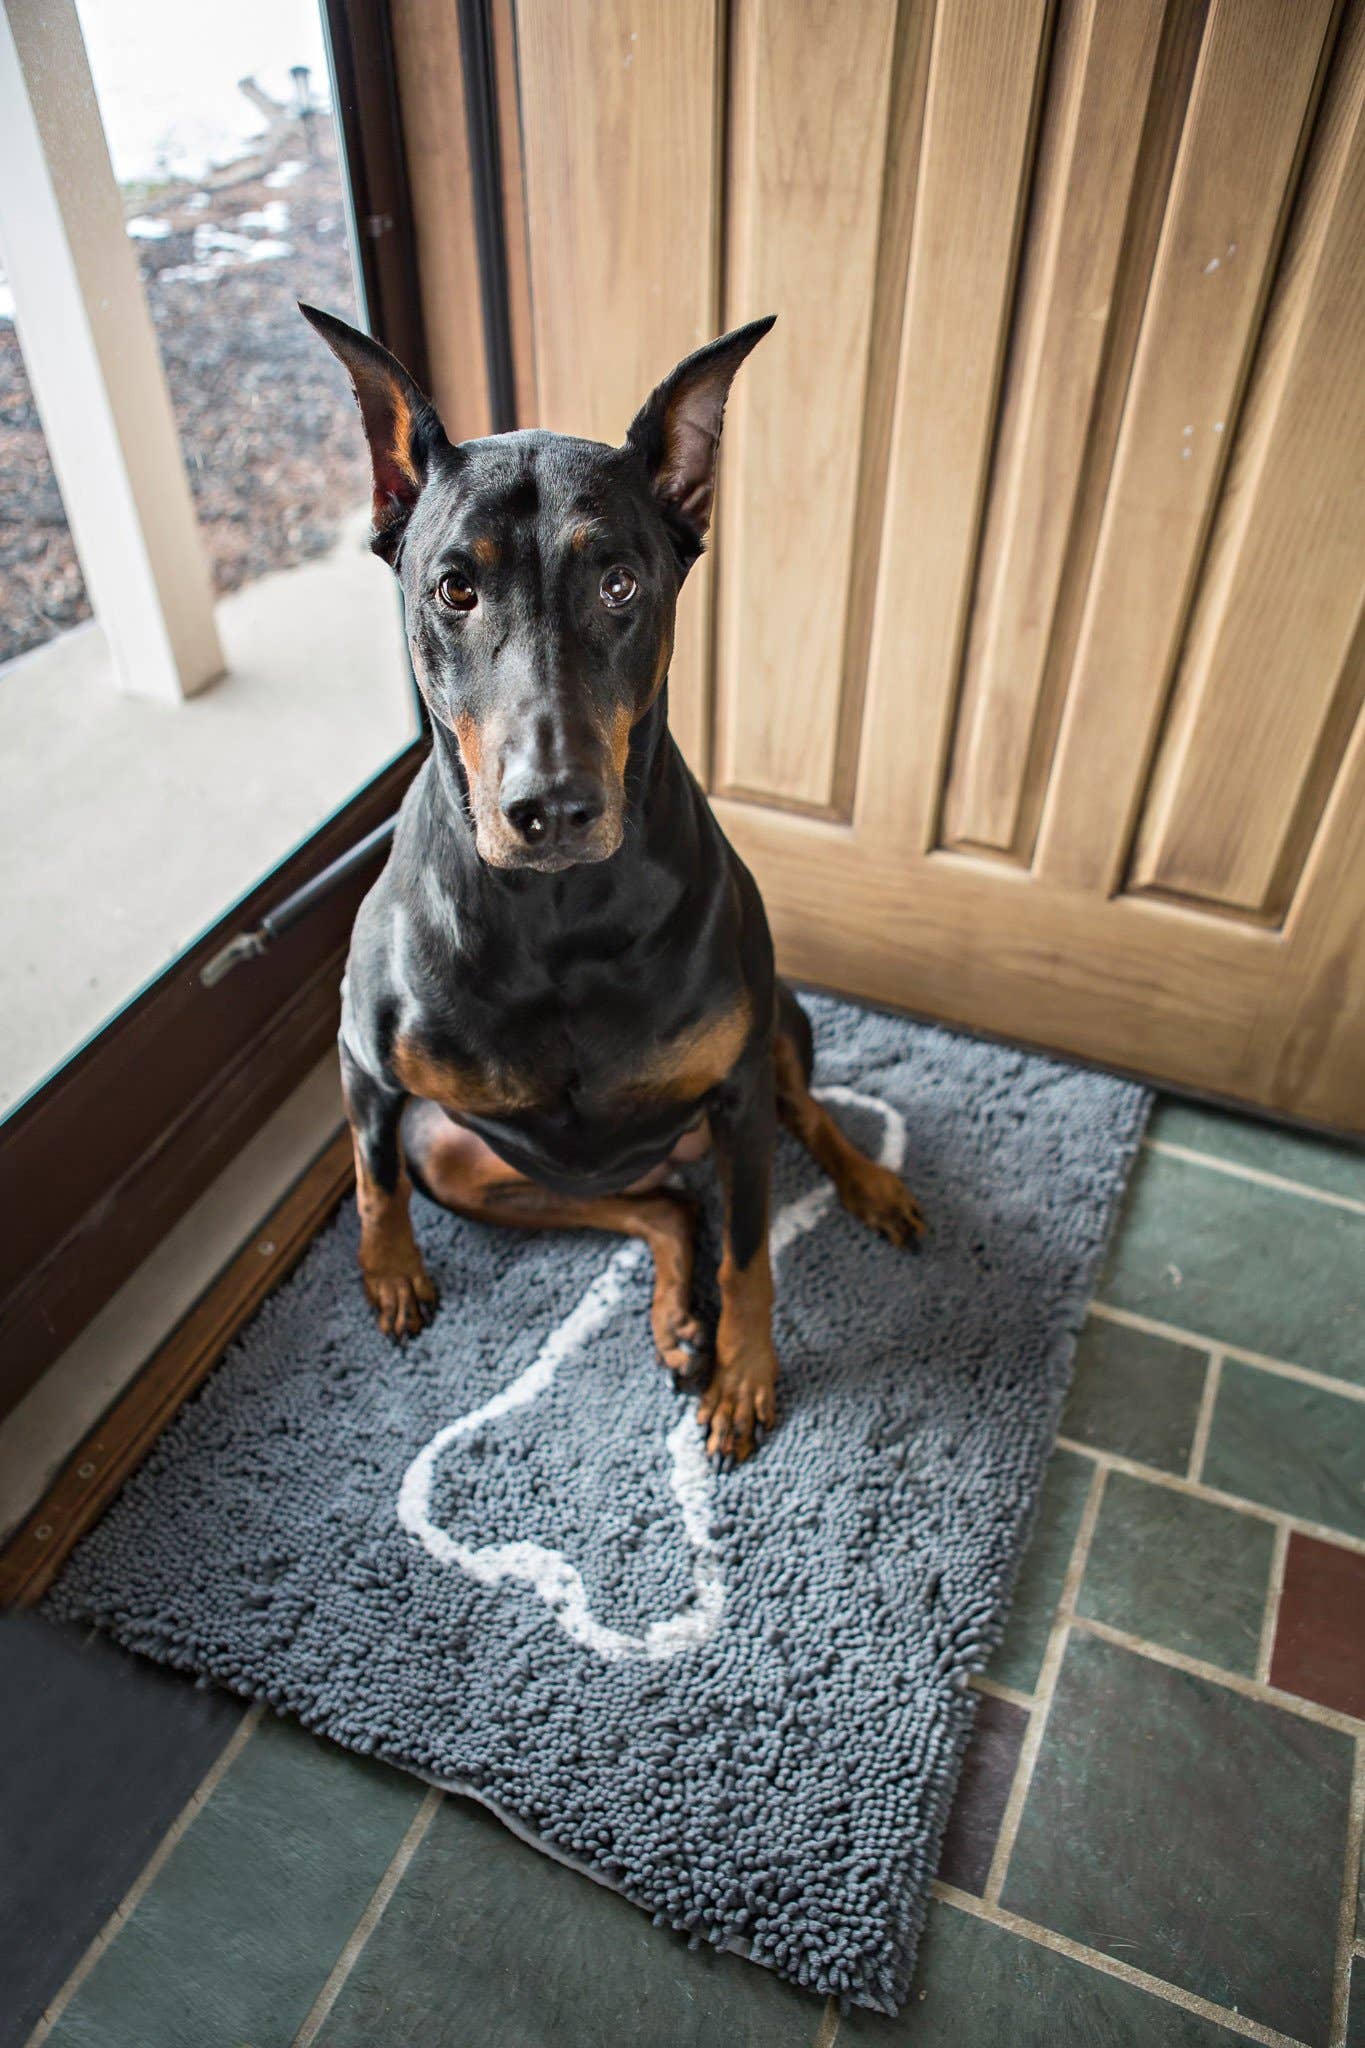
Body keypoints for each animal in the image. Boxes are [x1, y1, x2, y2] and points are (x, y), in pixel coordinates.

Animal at [302, 299, 925, 1458]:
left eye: (620, 582)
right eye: (454, 587)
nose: (551, 806)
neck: (554, 914)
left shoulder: (734, 1091)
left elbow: (754, 1252)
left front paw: (745, 1373)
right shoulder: (365, 1054)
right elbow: (370, 1175)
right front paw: (390, 1274)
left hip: (774, 1024)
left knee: (799, 1120)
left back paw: (866, 1187)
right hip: (466, 1156)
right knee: (658, 1205)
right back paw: (677, 1313)